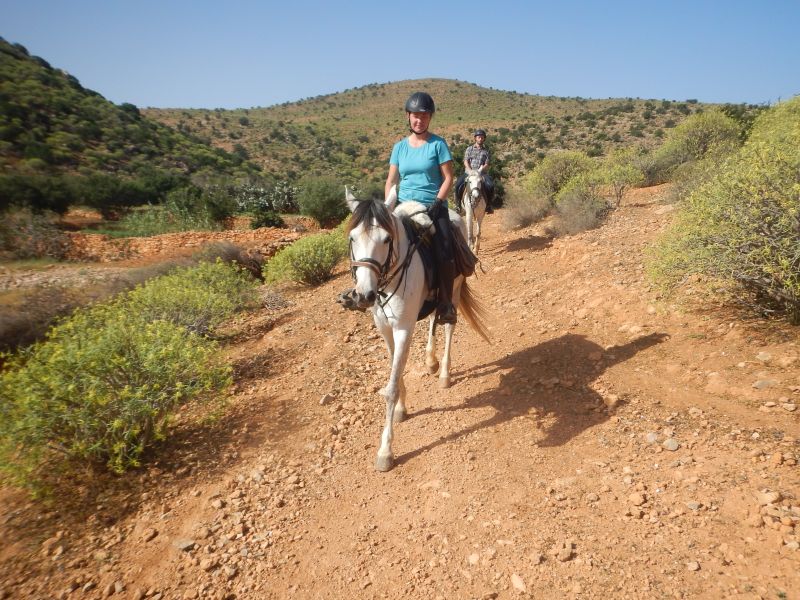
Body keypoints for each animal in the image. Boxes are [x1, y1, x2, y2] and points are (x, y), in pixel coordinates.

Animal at [344, 185, 488, 472]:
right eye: (352, 238)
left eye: (386, 239)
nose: (364, 295)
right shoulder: (385, 328)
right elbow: (395, 372)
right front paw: (402, 409)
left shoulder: (403, 328)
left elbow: (390, 388)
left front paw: (385, 451)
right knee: (434, 319)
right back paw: (431, 361)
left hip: (454, 291)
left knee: (448, 326)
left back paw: (444, 373)